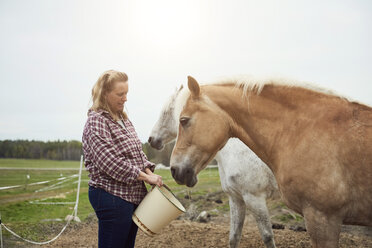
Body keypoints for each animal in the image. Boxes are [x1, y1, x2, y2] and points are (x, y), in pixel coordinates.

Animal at [148, 85, 280, 248]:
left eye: (166, 113)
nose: (151, 139)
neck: (234, 153)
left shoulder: (255, 198)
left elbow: (267, 236)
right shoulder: (236, 198)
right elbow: (234, 237)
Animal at [170, 75, 372, 248]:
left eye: (184, 120)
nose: (174, 169)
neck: (301, 131)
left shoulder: (322, 218)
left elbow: (267, 235)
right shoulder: (236, 198)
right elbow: (234, 237)